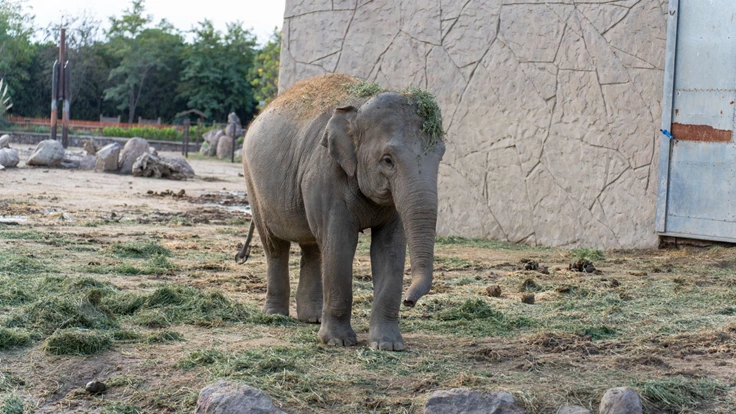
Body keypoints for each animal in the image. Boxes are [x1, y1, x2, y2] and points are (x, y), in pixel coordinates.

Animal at [242, 73, 446, 350]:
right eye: (388, 160)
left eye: (440, 156)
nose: (409, 301)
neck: (360, 105)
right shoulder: (326, 174)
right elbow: (340, 242)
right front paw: (338, 342)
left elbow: (389, 249)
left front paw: (388, 346)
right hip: (253, 183)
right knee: (275, 246)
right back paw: (275, 316)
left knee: (313, 247)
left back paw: (312, 318)